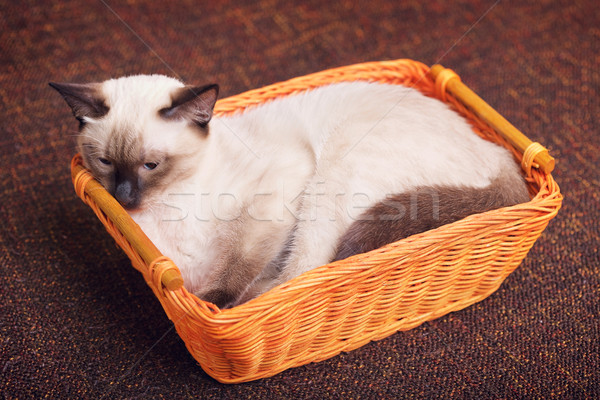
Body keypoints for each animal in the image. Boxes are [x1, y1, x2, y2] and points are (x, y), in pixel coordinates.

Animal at [51, 74, 528, 306]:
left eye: (150, 165)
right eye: (104, 162)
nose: (125, 199)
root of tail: (493, 149)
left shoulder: (278, 186)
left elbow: (239, 269)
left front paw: (214, 305)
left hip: (331, 175)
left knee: (303, 271)